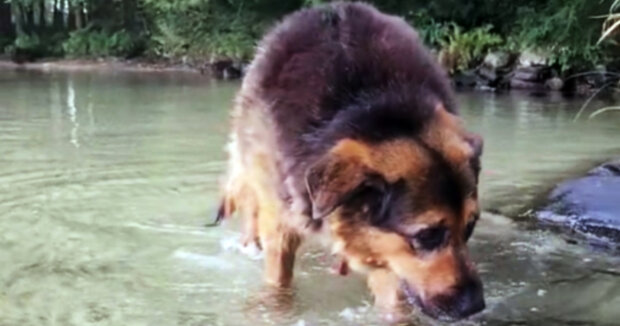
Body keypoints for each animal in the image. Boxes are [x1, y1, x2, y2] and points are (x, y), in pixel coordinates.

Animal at [217, 0, 484, 320]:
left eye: (470, 226)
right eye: (427, 235)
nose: (475, 306)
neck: (374, 113)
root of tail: (330, 7)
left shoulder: (385, 252)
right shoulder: (281, 222)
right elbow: (278, 281)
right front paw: (276, 309)